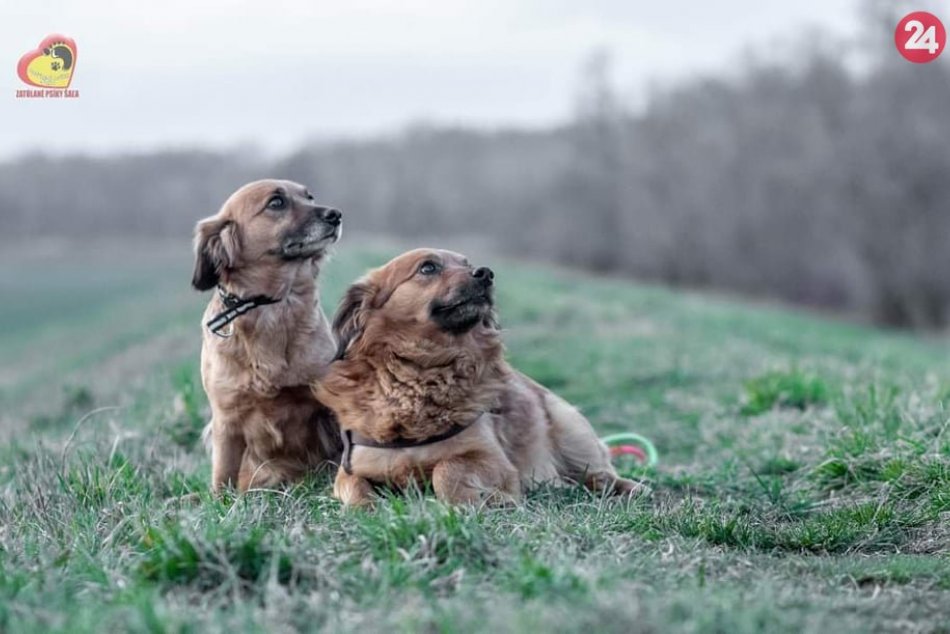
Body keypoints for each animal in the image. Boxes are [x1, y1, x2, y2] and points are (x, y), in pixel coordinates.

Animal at [192, 178, 344, 488]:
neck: (273, 306)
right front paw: (221, 501)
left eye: (309, 196)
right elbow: (222, 478)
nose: (336, 214)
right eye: (276, 202)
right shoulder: (225, 420)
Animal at [314, 247, 648, 504]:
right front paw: (365, 507)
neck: (423, 375)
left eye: (467, 264)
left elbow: (446, 469)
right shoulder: (354, 466)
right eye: (428, 267)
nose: (486, 273)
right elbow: (352, 486)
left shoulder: (492, 459)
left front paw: (477, 501)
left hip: (572, 432)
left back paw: (630, 488)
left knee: (598, 473)